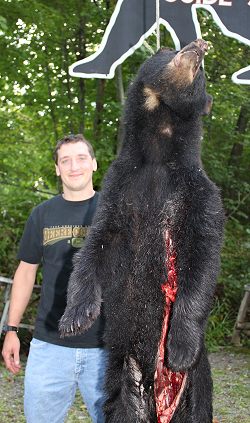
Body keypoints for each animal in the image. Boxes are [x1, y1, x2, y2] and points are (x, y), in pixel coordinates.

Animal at [60, 39, 225, 423]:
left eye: (203, 74)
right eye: (167, 50)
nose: (200, 44)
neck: (157, 153)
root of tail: (155, 393)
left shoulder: (198, 192)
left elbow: (203, 255)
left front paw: (181, 344)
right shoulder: (119, 189)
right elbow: (97, 246)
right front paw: (74, 317)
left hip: (196, 390)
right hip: (124, 376)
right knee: (123, 407)